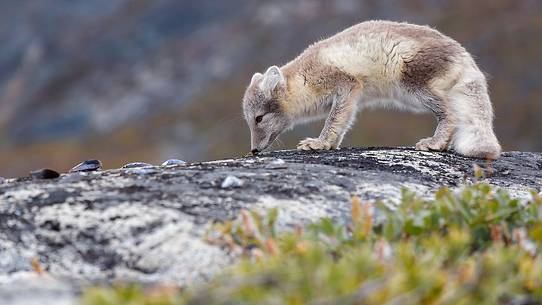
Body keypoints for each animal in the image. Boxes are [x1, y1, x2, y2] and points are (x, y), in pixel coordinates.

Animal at [244, 19, 504, 159]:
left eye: (259, 118)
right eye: (250, 120)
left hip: (413, 88)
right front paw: (330, 144)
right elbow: (343, 123)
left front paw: (318, 143)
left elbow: (333, 120)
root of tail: (464, 56)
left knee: (450, 114)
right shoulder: (353, 97)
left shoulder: (346, 84)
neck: (303, 79)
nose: (254, 150)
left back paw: (434, 142)